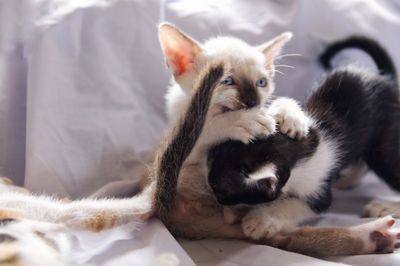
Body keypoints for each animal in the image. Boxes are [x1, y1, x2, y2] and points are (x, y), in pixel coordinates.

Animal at [208, 35, 400, 241]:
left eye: (217, 188)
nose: (218, 202)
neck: (300, 152)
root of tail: (384, 78)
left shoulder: (318, 189)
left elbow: (298, 205)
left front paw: (261, 219)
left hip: (383, 144)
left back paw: (385, 206)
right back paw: (347, 179)